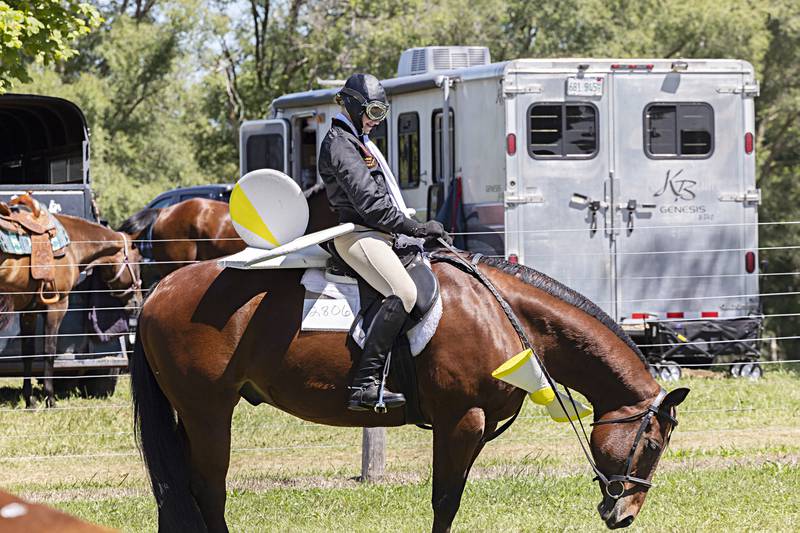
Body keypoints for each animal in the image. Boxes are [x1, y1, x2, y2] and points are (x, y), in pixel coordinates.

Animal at [0, 212, 142, 408]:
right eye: (139, 260)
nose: (138, 302)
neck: (71, 245)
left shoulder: (30, 312)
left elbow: (28, 353)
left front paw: (30, 401)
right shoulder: (57, 306)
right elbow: (49, 352)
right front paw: (50, 400)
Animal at [130, 247, 688, 528]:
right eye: (653, 444)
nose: (624, 515)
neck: (502, 314)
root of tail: (160, 288)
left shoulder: (473, 429)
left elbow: (452, 497)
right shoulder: (460, 422)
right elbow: (444, 501)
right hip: (207, 413)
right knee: (207, 490)